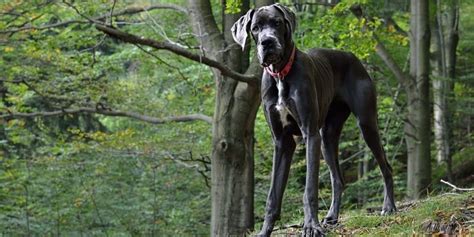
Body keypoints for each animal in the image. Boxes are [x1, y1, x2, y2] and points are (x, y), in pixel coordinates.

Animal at [232, 2, 396, 236]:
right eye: (255, 28)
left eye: (277, 23)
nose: (267, 42)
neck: (280, 74)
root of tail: (353, 56)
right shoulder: (282, 142)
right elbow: (273, 195)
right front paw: (265, 231)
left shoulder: (309, 134)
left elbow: (309, 189)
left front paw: (311, 226)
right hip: (327, 137)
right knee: (338, 179)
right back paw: (332, 216)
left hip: (366, 124)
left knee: (386, 168)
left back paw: (388, 207)